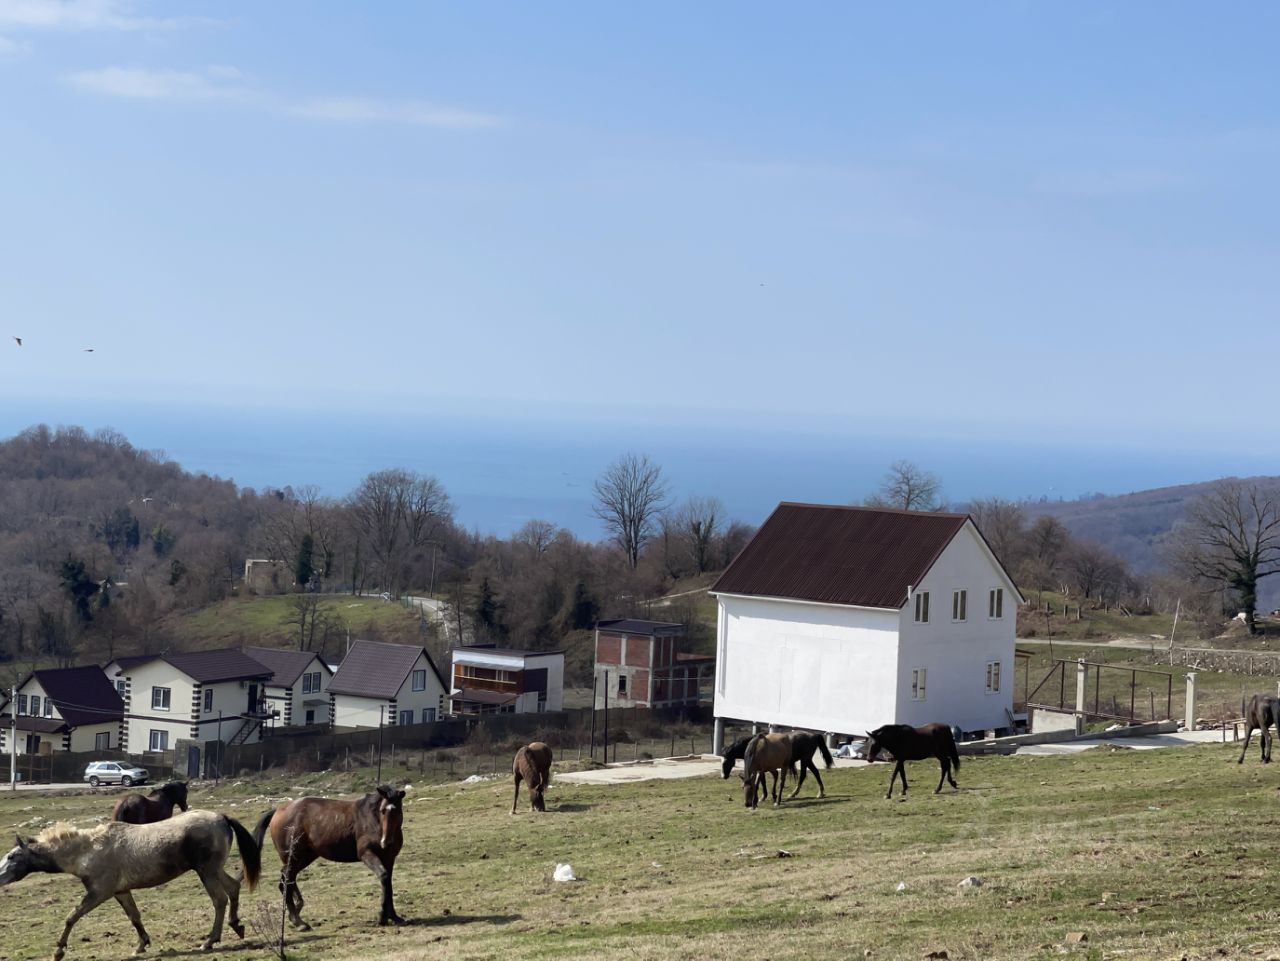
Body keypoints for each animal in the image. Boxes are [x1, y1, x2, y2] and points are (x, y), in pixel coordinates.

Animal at [250, 783, 404, 926]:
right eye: (382, 811)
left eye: (397, 811)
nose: (386, 843)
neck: (373, 821)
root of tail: (278, 810)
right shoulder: (367, 854)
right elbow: (384, 876)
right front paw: (382, 916)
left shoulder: (389, 858)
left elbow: (388, 882)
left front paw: (394, 916)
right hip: (293, 857)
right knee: (287, 880)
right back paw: (298, 921)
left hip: (305, 857)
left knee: (287, 879)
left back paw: (296, 912)